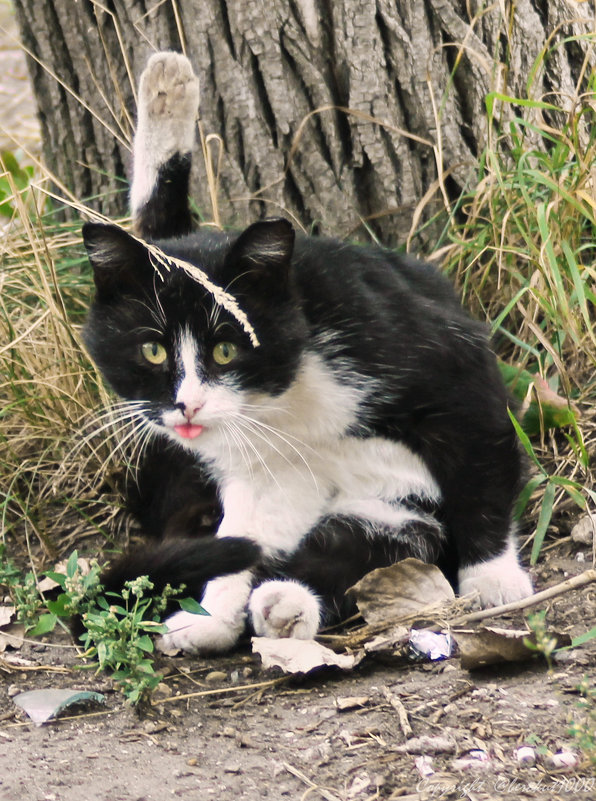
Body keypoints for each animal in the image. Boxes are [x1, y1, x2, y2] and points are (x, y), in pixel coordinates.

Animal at [81, 50, 532, 652]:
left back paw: (282, 605)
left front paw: (494, 578)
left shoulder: (447, 362)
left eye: (226, 351)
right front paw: (216, 612)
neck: (289, 397)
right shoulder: (262, 470)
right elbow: (245, 540)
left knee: (359, 547)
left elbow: (482, 462)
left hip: (399, 509)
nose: (186, 405)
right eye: (152, 351)